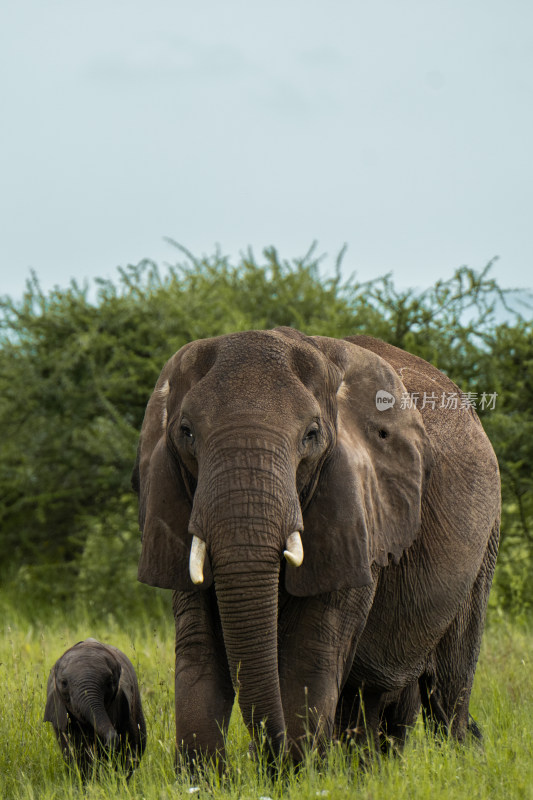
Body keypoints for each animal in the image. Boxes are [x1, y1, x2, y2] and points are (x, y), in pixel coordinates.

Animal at [133, 326, 498, 768]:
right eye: (186, 432)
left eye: (311, 435)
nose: (260, 756)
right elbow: (199, 645)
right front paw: (204, 776)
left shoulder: (356, 511)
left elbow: (309, 650)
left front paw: (295, 772)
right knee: (371, 698)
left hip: (483, 547)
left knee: (446, 691)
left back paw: (460, 761)